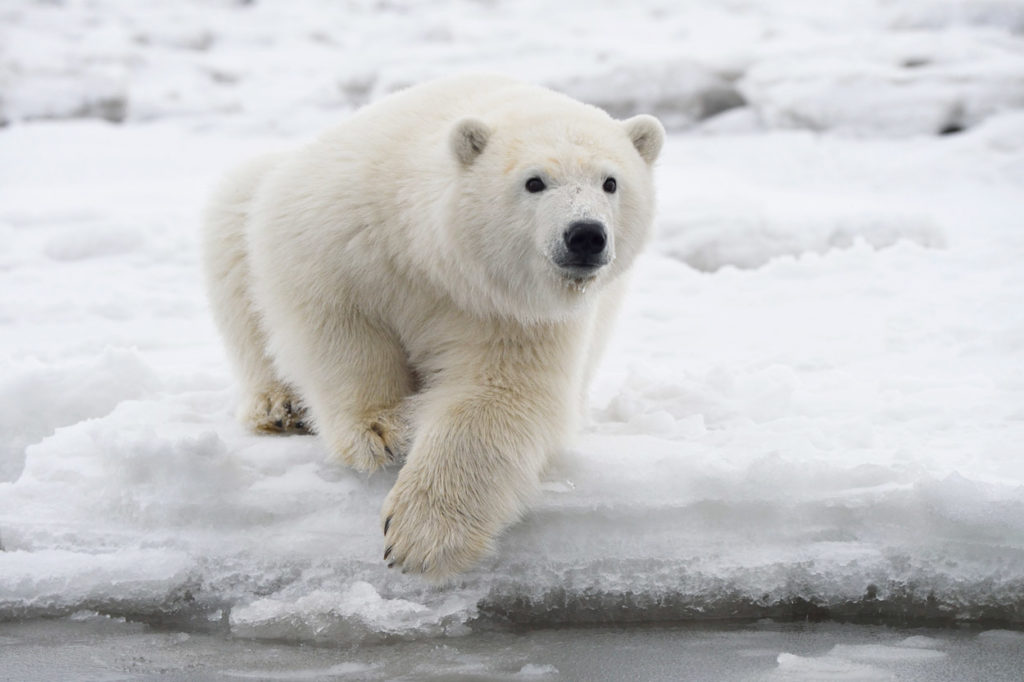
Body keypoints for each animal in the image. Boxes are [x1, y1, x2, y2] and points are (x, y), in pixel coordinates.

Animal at [203, 74, 659, 577]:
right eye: (534, 181)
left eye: (610, 182)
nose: (585, 235)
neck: (436, 258)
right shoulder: (346, 230)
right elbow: (335, 321)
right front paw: (380, 430)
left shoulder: (514, 314)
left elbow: (499, 396)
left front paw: (421, 534)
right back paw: (278, 407)